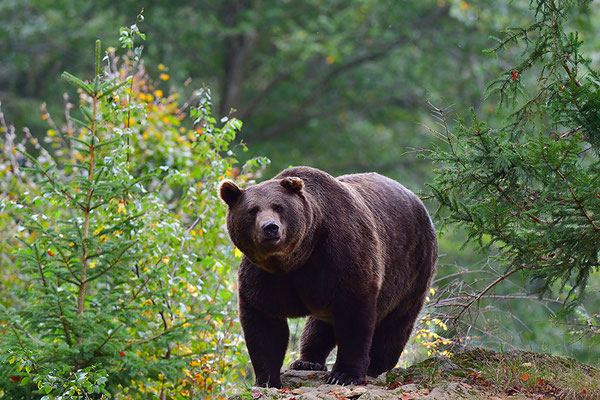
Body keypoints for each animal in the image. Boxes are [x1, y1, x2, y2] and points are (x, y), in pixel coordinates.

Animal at [219, 166, 436, 388]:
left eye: (278, 206)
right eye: (252, 210)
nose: (270, 227)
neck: (296, 257)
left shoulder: (341, 255)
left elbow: (354, 316)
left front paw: (344, 375)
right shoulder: (264, 276)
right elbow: (264, 323)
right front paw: (267, 380)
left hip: (412, 269)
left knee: (396, 324)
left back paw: (376, 367)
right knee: (320, 325)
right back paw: (307, 362)